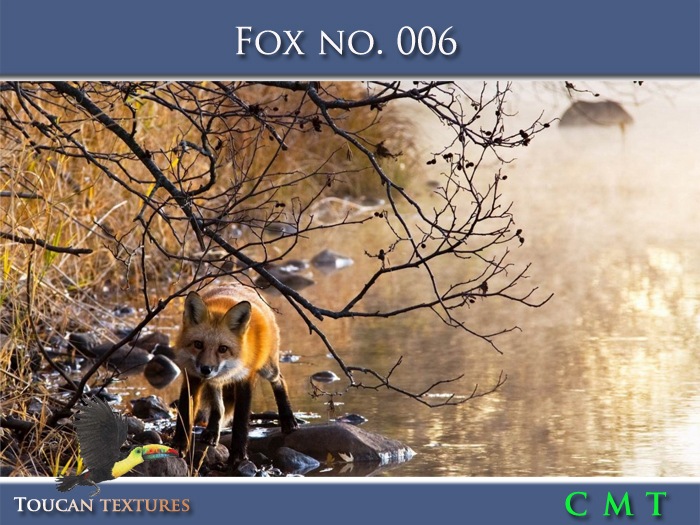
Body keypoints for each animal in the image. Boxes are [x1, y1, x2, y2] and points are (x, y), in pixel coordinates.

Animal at [172, 284, 297, 465]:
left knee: (279, 380)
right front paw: (179, 445)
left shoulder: (245, 378)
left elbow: (240, 420)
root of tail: (240, 286)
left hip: (268, 368)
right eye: (198, 344)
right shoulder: (192, 376)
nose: (206, 369)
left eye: (223, 349)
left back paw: (287, 418)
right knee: (220, 408)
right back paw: (212, 431)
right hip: (215, 382)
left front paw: (238, 454)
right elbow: (185, 413)